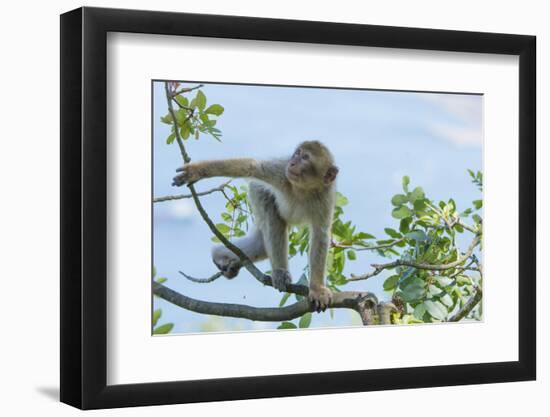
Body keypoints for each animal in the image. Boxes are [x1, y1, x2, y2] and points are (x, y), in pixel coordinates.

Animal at [172, 141, 338, 310]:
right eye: (297, 153)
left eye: (305, 157)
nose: (292, 163)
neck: (303, 189)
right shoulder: (281, 174)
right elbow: (251, 166)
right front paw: (195, 171)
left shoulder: (326, 198)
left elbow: (321, 235)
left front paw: (317, 289)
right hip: (257, 191)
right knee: (272, 217)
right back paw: (279, 272)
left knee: (260, 246)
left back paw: (222, 256)